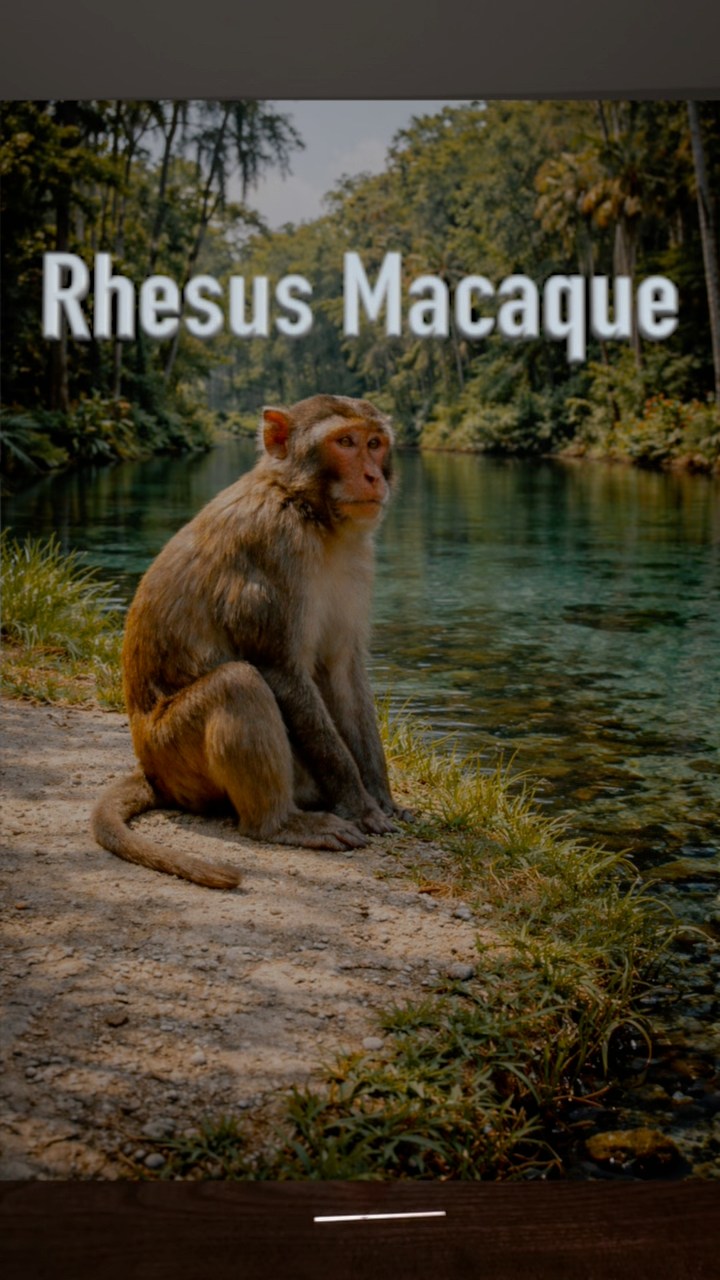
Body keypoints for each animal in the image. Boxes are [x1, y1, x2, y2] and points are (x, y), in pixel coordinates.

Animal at [91, 393, 412, 890]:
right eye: (345, 442)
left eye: (375, 444)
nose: (373, 476)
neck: (308, 512)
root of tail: (152, 772)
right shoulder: (274, 548)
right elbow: (279, 670)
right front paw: (359, 804)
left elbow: (342, 670)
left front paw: (380, 795)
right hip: (175, 756)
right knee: (238, 684)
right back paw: (279, 823)